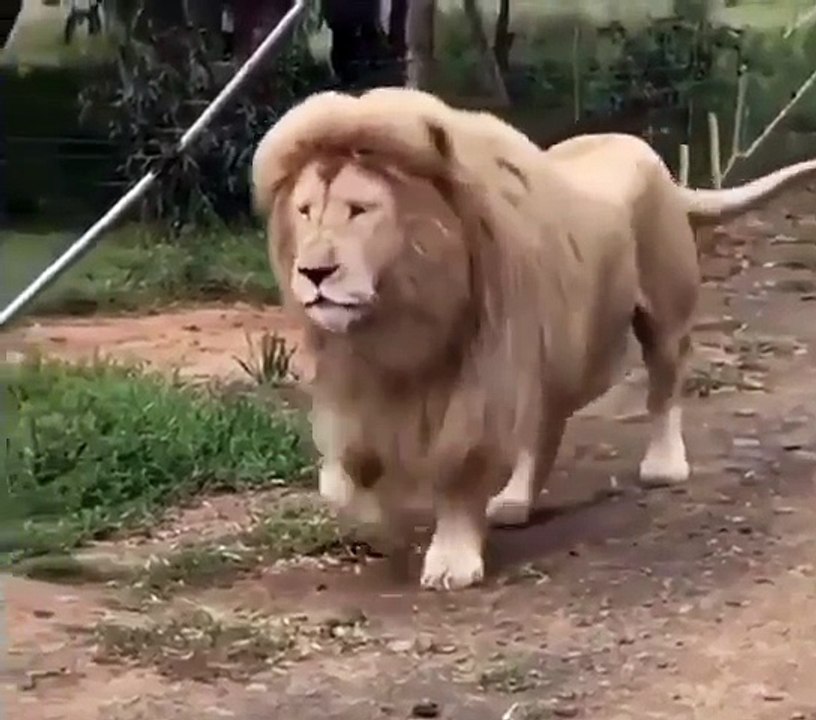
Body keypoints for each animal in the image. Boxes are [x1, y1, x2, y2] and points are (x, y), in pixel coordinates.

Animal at [251, 87, 816, 591]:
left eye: (359, 210)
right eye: (305, 211)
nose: (314, 272)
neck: (401, 319)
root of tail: (654, 160)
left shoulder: (484, 374)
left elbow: (462, 474)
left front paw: (452, 560)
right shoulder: (361, 384)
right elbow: (343, 475)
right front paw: (372, 515)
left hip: (660, 311)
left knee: (662, 387)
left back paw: (663, 466)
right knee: (546, 427)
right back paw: (515, 500)